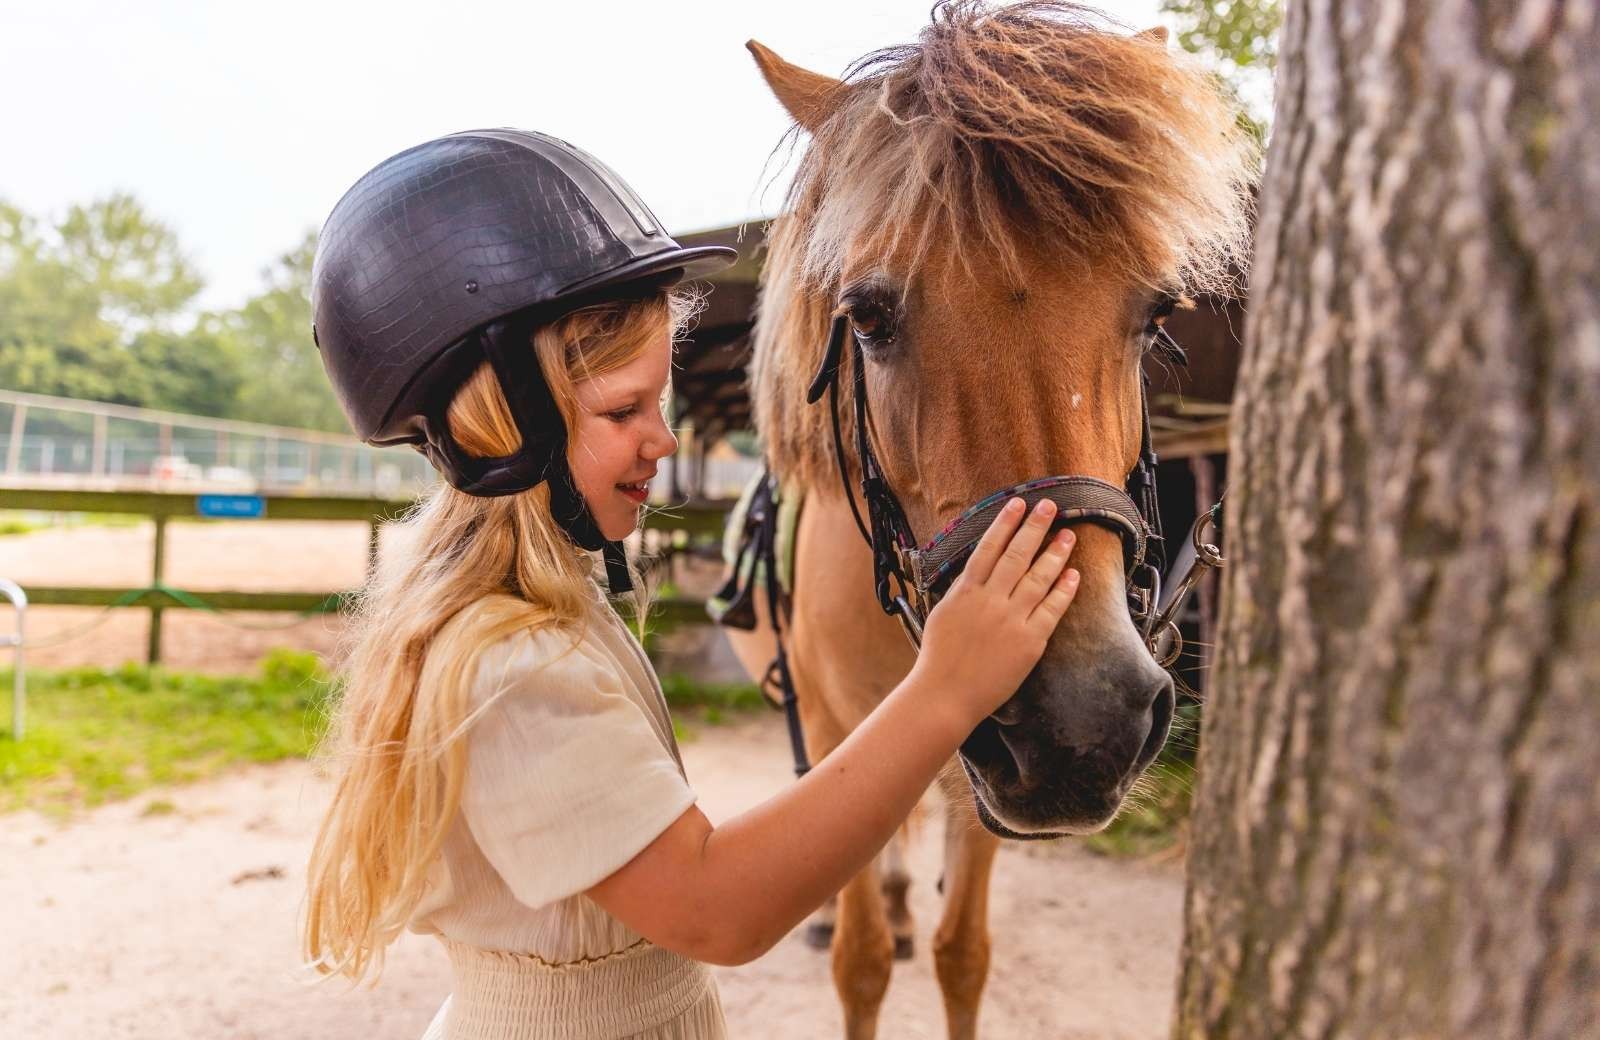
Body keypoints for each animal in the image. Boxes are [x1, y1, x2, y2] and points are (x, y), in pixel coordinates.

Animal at [718, 4, 1256, 1036]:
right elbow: (858, 965)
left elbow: (962, 956)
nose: (1087, 718)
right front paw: (859, 930)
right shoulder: (842, 736)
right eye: (868, 317)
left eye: (1154, 315)